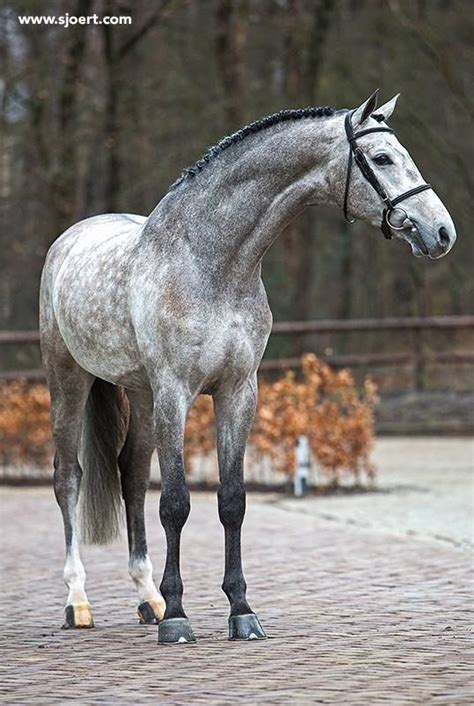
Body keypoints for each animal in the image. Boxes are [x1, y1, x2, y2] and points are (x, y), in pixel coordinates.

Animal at [39, 91, 456, 640]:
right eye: (383, 158)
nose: (442, 231)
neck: (212, 262)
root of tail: (69, 238)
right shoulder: (176, 393)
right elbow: (176, 503)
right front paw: (179, 618)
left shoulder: (238, 392)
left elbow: (232, 500)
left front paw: (240, 611)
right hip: (69, 381)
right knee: (69, 478)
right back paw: (79, 601)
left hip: (142, 396)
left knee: (131, 477)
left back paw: (148, 598)